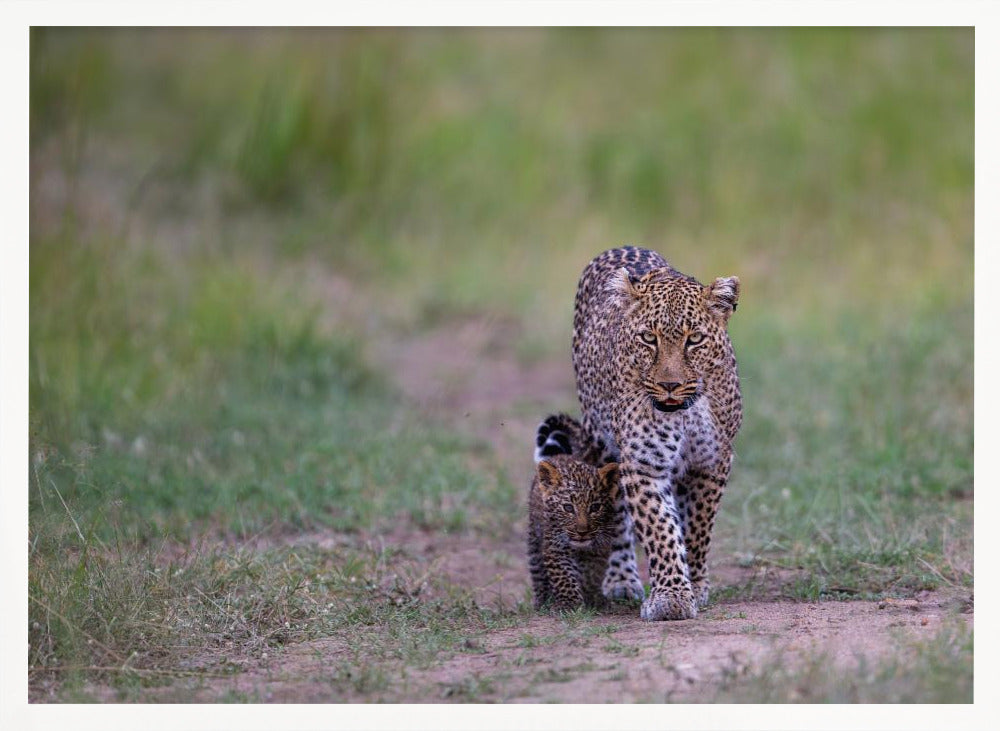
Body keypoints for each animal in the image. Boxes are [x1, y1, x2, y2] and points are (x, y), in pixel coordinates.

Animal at [527, 444, 621, 612]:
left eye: (595, 507)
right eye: (568, 508)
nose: (582, 532)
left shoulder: (599, 549)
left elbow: (592, 575)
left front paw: (592, 597)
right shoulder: (555, 547)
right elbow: (563, 577)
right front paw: (569, 603)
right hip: (534, 538)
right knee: (537, 570)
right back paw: (542, 600)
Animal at [570, 246, 742, 621]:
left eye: (695, 340)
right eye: (649, 338)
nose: (669, 385)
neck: (685, 412)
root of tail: (622, 245)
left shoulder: (712, 462)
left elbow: (696, 528)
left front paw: (694, 585)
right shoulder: (643, 462)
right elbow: (660, 528)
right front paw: (671, 598)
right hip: (600, 442)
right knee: (617, 515)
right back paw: (621, 579)